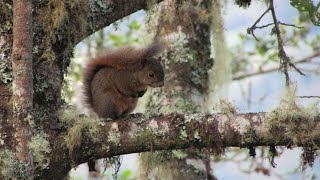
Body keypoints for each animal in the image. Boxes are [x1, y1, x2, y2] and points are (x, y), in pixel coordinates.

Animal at [82, 40, 165, 172]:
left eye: (163, 70)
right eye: (151, 74)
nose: (161, 84)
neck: (137, 77)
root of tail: (98, 110)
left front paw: (141, 94)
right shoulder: (121, 80)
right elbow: (124, 90)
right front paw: (134, 93)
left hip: (131, 104)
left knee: (124, 113)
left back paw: (131, 115)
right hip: (109, 101)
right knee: (113, 116)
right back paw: (119, 120)